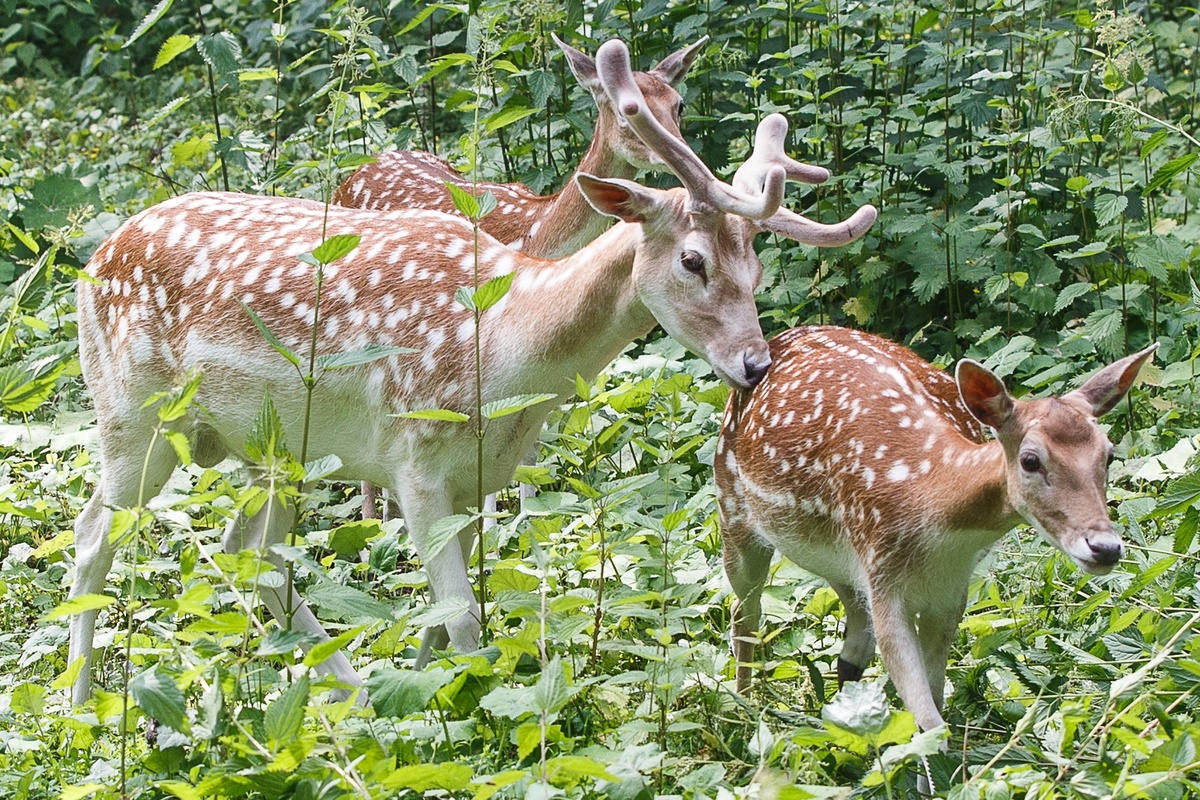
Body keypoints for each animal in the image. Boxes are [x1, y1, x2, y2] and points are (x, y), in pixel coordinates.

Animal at [65, 38, 878, 700]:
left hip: (276, 452)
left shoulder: (477, 478)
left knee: (252, 550)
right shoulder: (414, 462)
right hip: (131, 412)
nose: (756, 364)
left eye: (757, 265)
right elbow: (464, 626)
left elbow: (442, 621)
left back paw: (351, 696)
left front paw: (425, 704)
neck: (508, 350)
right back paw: (80, 706)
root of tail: (95, 258)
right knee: (92, 533)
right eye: (692, 259)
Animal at [715, 326, 1156, 738]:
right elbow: (928, 719)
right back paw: (744, 710)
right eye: (1031, 460)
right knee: (744, 610)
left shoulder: (949, 589)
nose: (1105, 547)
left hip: (840, 561)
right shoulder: (883, 573)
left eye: (1109, 454)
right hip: (732, 508)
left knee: (853, 638)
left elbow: (936, 699)